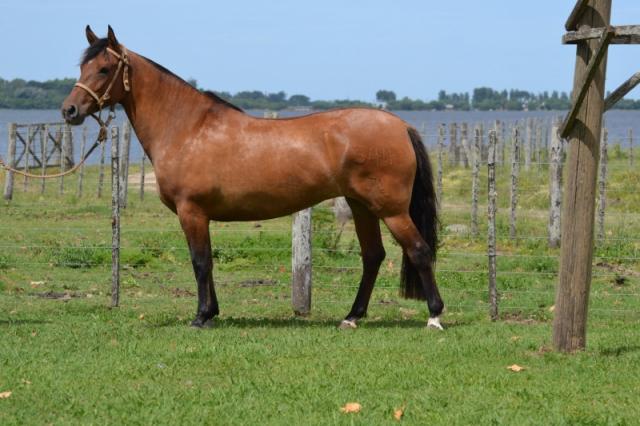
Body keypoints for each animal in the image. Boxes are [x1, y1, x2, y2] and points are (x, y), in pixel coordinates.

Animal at [61, 26, 445, 329]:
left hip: (391, 209)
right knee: (373, 256)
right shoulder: (201, 215)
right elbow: (208, 261)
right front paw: (212, 312)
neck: (187, 128)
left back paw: (434, 316)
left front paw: (200, 317)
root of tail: (401, 125)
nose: (70, 110)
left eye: (105, 68)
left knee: (419, 251)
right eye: (83, 66)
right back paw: (351, 317)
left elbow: (200, 262)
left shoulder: (191, 211)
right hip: (361, 205)